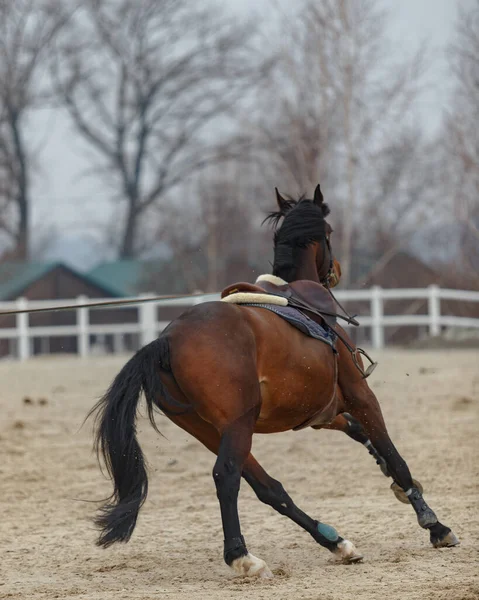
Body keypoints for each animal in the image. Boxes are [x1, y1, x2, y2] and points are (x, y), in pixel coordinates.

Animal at [88, 185, 460, 580]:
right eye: (329, 233)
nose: (336, 271)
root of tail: (167, 341)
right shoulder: (360, 395)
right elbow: (394, 454)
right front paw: (434, 524)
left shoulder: (322, 411)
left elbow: (361, 434)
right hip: (238, 424)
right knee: (227, 476)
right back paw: (242, 556)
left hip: (208, 429)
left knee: (268, 488)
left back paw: (335, 542)